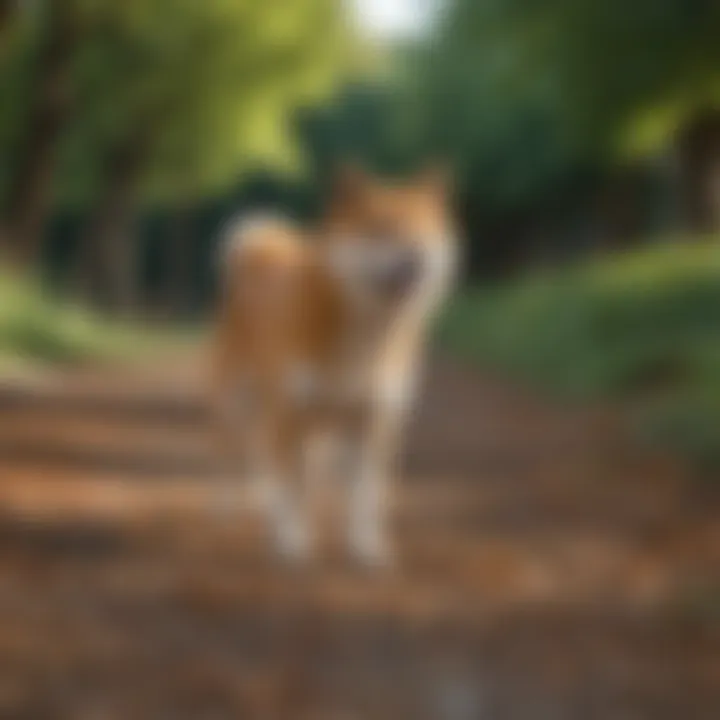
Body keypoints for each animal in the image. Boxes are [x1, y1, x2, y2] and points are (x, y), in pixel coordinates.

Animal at [210, 166, 456, 564]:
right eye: (379, 228)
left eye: (422, 230)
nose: (416, 255)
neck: (365, 335)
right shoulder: (291, 414)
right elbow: (292, 488)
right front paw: (293, 541)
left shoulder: (373, 422)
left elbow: (365, 497)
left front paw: (366, 547)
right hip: (239, 406)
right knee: (237, 458)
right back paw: (230, 510)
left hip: (317, 429)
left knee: (285, 462)